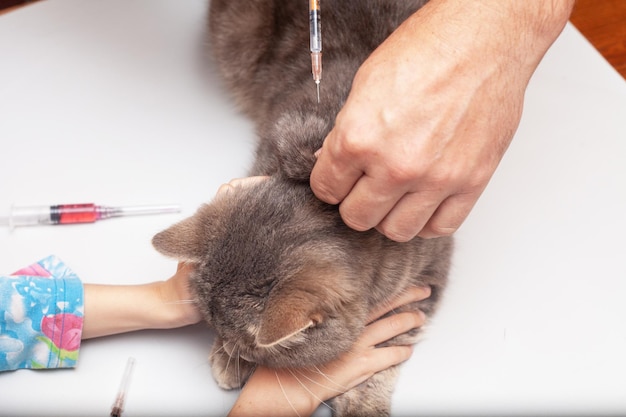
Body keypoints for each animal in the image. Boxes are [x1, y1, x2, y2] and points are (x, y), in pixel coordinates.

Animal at [153, 1, 450, 414]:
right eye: (213, 327)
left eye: (248, 346)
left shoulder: (429, 270)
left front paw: (363, 401)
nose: (229, 346)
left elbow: (395, 334)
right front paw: (227, 361)